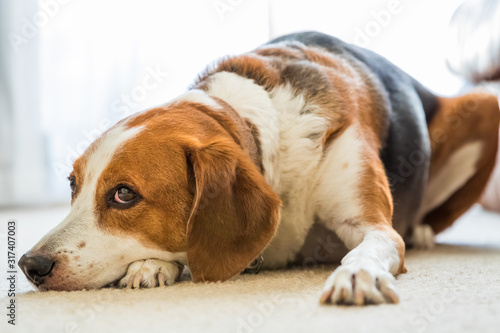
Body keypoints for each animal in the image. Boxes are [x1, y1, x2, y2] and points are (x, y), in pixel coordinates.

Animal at [17, 32, 498, 304]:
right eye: (72, 184)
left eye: (124, 194)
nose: (29, 265)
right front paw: (151, 266)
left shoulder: (372, 225)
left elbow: (369, 248)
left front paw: (356, 273)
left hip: (485, 104)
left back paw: (422, 232)